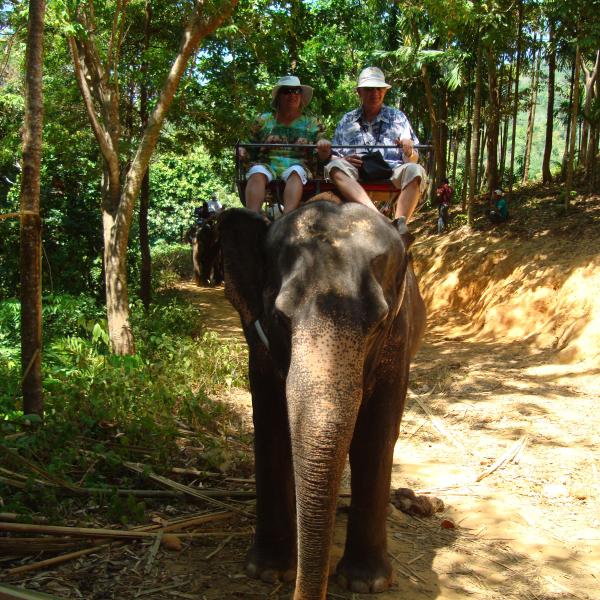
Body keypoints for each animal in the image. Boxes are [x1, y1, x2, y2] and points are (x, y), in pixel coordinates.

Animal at [218, 202, 424, 600]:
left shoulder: (399, 337)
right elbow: (271, 428)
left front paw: (366, 583)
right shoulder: (256, 339)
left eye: (379, 324)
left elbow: (375, 438)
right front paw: (268, 572)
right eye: (280, 318)